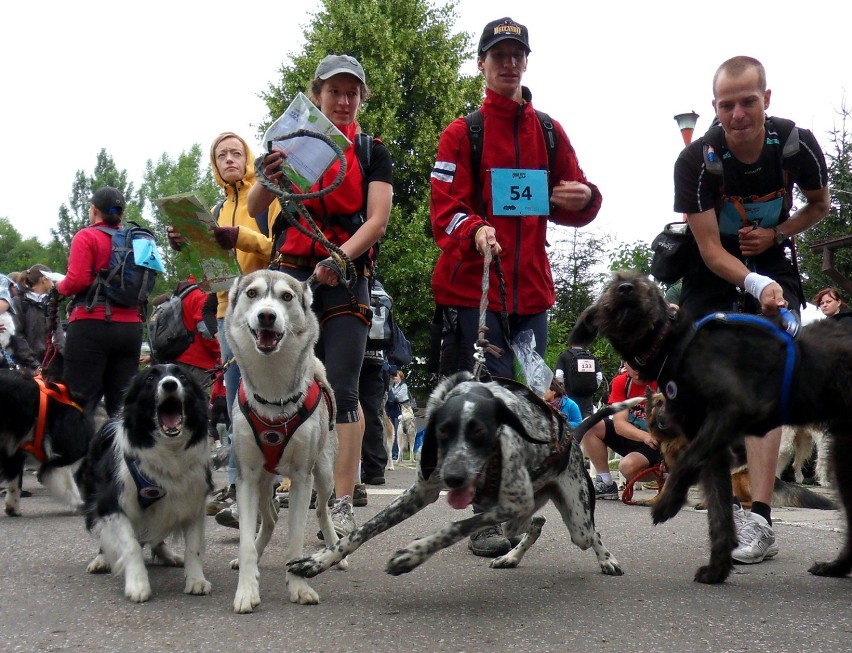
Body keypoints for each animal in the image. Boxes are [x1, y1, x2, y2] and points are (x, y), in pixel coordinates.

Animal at [0, 366, 93, 516]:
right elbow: (69, 482)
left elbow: (15, 480)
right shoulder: (62, 453)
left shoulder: (15, 449)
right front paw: (81, 505)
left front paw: (12, 508)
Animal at [568, 268, 852, 584]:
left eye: (645, 284)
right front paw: (717, 569)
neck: (674, 346)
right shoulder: (713, 450)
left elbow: (686, 463)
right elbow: (719, 514)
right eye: (610, 287)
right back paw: (836, 567)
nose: (627, 289)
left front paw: (668, 502)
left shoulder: (730, 413)